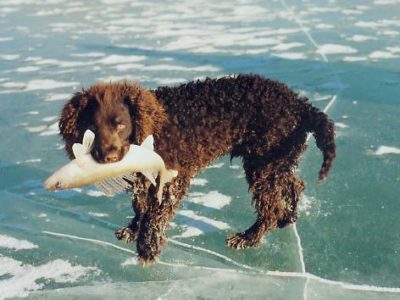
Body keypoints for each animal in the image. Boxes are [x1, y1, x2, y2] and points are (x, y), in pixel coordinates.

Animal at [58, 74, 334, 264]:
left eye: (121, 124)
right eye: (92, 128)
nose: (109, 157)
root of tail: (299, 104)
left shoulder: (173, 180)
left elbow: (155, 217)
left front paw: (148, 248)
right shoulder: (143, 179)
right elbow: (140, 206)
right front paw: (133, 229)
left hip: (263, 164)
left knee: (270, 207)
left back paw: (249, 238)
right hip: (276, 162)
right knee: (294, 185)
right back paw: (289, 216)